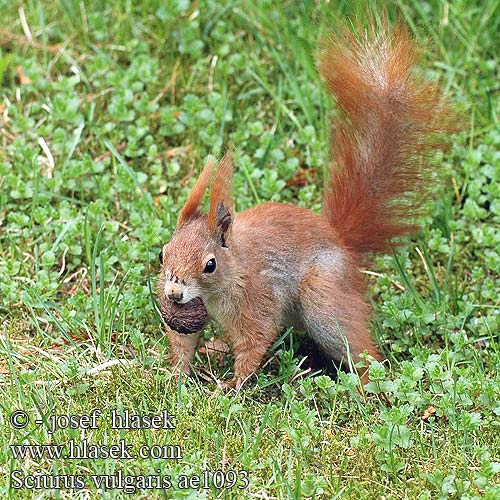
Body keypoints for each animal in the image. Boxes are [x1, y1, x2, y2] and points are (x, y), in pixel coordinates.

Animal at [158, 21, 452, 388]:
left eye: (209, 265)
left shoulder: (257, 299)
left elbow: (255, 341)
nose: (173, 293)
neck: (227, 277)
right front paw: (175, 377)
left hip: (321, 299)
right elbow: (184, 342)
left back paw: (367, 385)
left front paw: (230, 387)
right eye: (162, 254)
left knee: (356, 345)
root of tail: (342, 242)